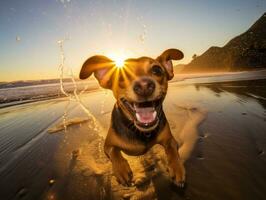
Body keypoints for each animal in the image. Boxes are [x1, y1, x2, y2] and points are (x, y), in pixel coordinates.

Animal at [80, 48, 186, 188]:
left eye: (157, 70)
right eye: (121, 76)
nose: (144, 85)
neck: (141, 132)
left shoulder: (169, 139)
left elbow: (172, 149)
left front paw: (177, 168)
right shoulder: (107, 145)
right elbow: (114, 151)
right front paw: (121, 170)